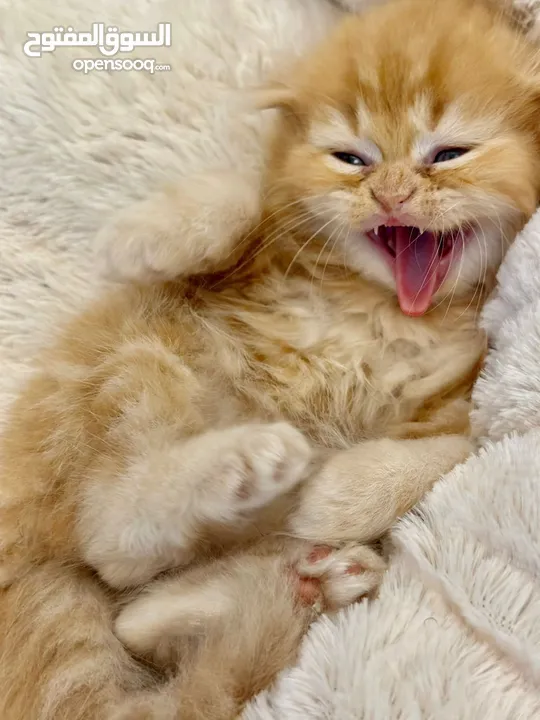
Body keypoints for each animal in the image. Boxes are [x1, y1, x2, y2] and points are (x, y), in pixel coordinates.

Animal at [1, 1, 540, 720]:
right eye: (352, 159)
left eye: (449, 153)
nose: (390, 195)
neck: (391, 306)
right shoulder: (257, 262)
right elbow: (246, 198)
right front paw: (142, 237)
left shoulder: (469, 399)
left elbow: (450, 450)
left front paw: (338, 498)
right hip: (140, 359)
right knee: (112, 546)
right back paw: (250, 474)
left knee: (127, 601)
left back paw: (306, 566)